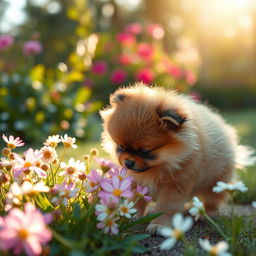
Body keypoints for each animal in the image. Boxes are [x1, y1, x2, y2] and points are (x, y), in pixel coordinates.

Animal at [100, 82, 254, 232]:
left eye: (145, 151)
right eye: (120, 146)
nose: (128, 162)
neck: (160, 166)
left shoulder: (175, 184)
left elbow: (166, 206)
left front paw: (159, 225)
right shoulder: (136, 182)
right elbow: (136, 201)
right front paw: (130, 216)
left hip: (215, 183)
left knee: (212, 200)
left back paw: (205, 214)